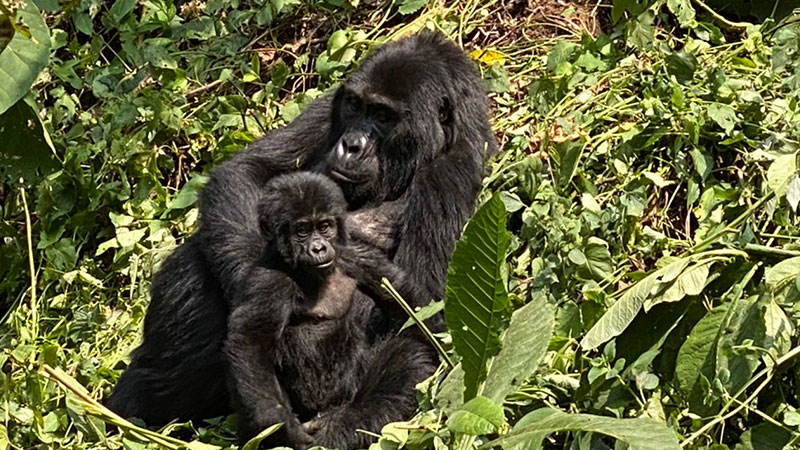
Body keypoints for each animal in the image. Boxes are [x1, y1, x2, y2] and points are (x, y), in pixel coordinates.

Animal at [225, 172, 434, 450]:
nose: (319, 248)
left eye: (324, 226)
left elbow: (403, 301)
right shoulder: (268, 279)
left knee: (405, 361)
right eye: (302, 231)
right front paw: (278, 422)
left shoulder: (357, 257)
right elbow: (252, 342)